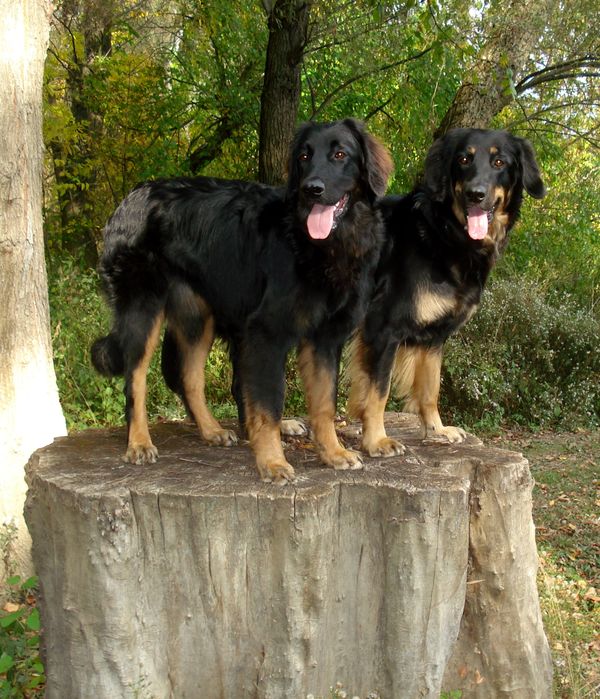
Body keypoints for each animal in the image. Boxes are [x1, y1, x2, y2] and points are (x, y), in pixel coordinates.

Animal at [91, 119, 394, 482]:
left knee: (189, 378)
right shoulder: (266, 334)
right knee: (135, 381)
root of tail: (130, 199)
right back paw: (138, 442)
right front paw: (272, 461)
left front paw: (332, 452)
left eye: (339, 154)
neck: (318, 245)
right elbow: (268, 406)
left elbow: (324, 403)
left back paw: (210, 430)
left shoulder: (324, 339)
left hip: (198, 321)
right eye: (304, 156)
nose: (312, 189)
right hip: (143, 311)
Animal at [346, 129, 548, 456]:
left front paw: (436, 430)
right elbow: (378, 391)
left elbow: (431, 388)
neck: (442, 233)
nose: (475, 194)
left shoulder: (434, 336)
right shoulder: (382, 329)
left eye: (499, 162)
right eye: (464, 159)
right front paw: (375, 439)